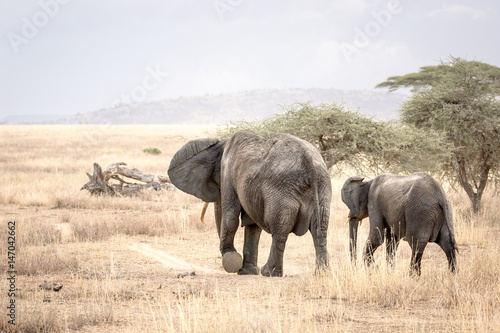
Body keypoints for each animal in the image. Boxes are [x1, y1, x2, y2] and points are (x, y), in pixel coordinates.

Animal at [168, 128, 332, 276]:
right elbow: (252, 225)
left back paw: (269, 272)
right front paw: (246, 272)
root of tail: (308, 158)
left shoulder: (229, 176)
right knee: (320, 229)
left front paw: (232, 261)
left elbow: (231, 217)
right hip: (323, 188)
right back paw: (322, 273)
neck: (223, 144)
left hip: (282, 190)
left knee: (280, 229)